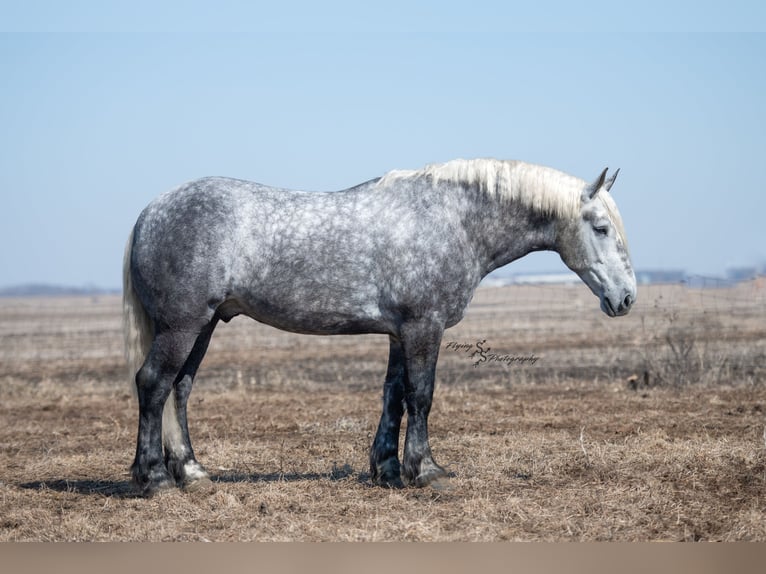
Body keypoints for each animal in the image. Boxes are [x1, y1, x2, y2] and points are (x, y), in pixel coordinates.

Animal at [123, 158, 636, 496]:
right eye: (601, 228)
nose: (627, 298)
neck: (453, 219)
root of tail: (149, 212)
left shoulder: (398, 332)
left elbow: (393, 395)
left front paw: (387, 470)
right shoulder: (424, 326)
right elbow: (421, 395)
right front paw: (426, 471)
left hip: (204, 325)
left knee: (179, 388)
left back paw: (191, 472)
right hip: (182, 325)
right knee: (153, 384)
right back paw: (154, 478)